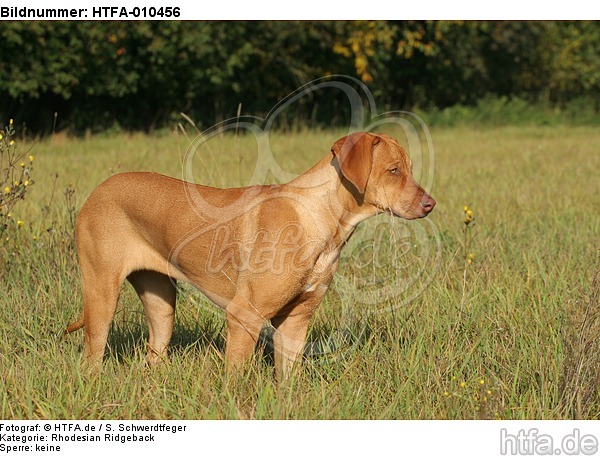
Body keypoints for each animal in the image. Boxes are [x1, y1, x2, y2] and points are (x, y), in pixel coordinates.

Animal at [65, 132, 434, 378]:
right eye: (393, 170)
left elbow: (289, 378)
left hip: (161, 302)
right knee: (92, 355)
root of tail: (97, 191)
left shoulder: (296, 321)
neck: (321, 219)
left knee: (154, 350)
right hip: (101, 293)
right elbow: (237, 380)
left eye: (410, 168)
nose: (430, 204)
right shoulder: (244, 317)